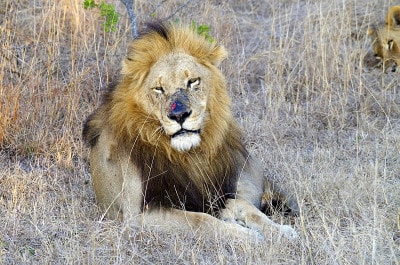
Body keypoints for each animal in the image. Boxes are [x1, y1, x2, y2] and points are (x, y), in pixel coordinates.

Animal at [83, 22, 298, 239]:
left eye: (192, 81)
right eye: (158, 88)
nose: (179, 115)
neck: (187, 156)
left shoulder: (213, 191)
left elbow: (241, 206)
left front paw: (279, 230)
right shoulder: (136, 215)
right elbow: (200, 220)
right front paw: (246, 236)